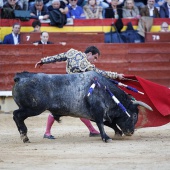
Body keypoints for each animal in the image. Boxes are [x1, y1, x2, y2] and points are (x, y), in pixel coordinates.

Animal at [12, 71, 148, 143]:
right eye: (134, 115)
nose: (131, 132)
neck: (104, 89)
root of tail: (21, 77)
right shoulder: (98, 112)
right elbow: (102, 124)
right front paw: (106, 138)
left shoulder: (96, 114)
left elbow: (110, 123)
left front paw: (117, 133)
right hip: (33, 108)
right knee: (16, 115)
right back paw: (24, 136)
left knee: (17, 116)